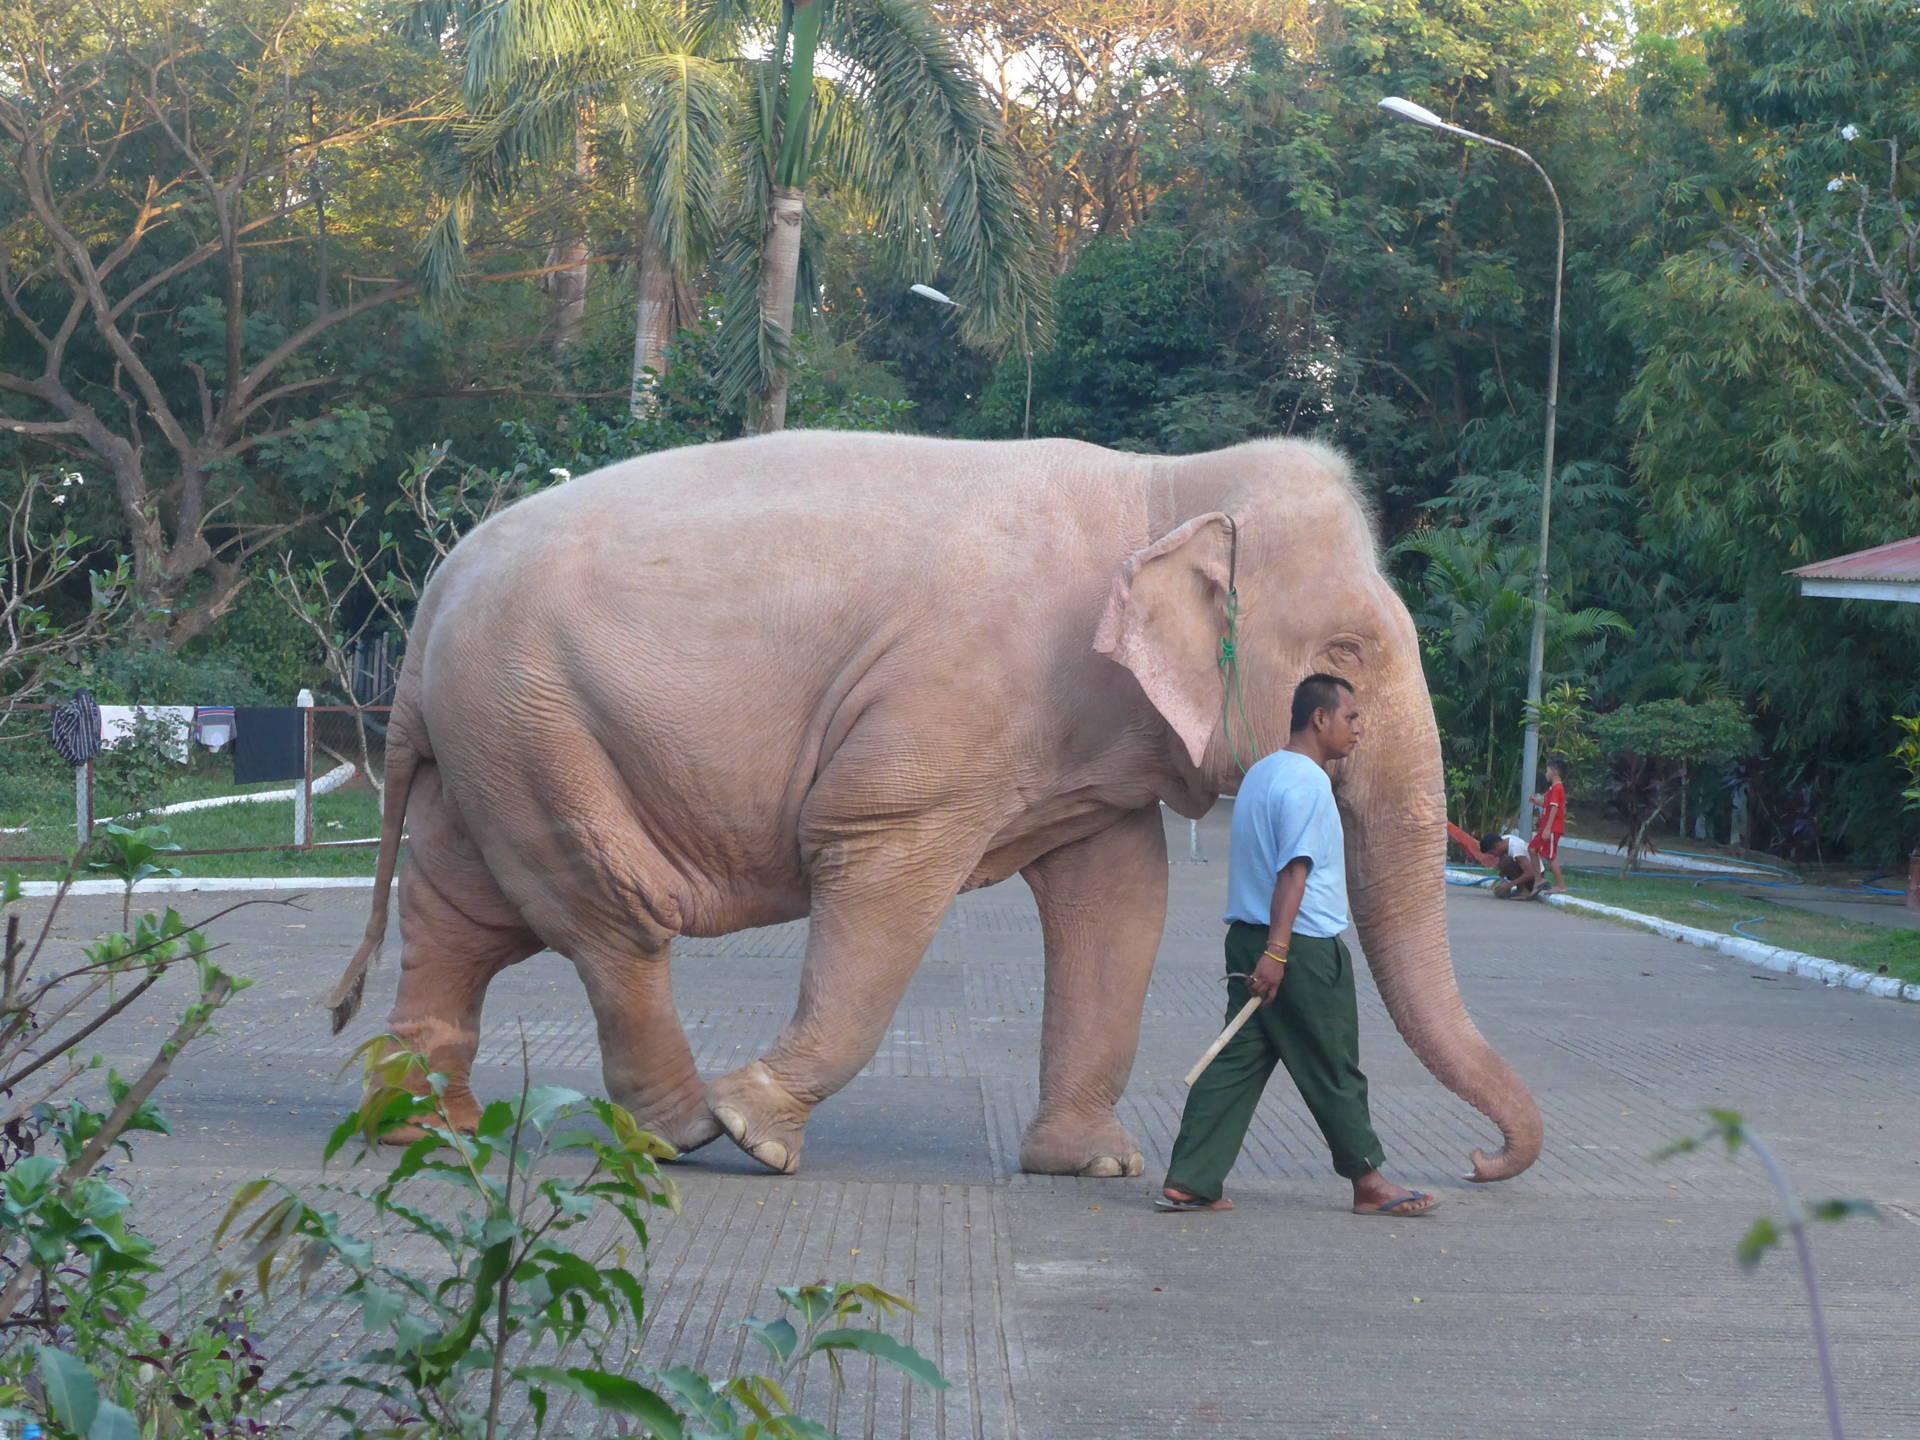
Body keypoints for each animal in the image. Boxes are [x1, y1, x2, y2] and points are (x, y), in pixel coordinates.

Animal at [318, 432, 1543, 1182]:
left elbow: (1120, 900)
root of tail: (430, 599)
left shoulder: (1089, 749)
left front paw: (1093, 1164)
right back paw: (683, 1131)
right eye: (1346, 655)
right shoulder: (940, 711)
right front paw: (761, 1131)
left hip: (496, 735)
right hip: (535, 723)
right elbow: (873, 861)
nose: (1481, 1163)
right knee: (611, 917)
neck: (1162, 486)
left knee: (461, 913)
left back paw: (428, 1126)